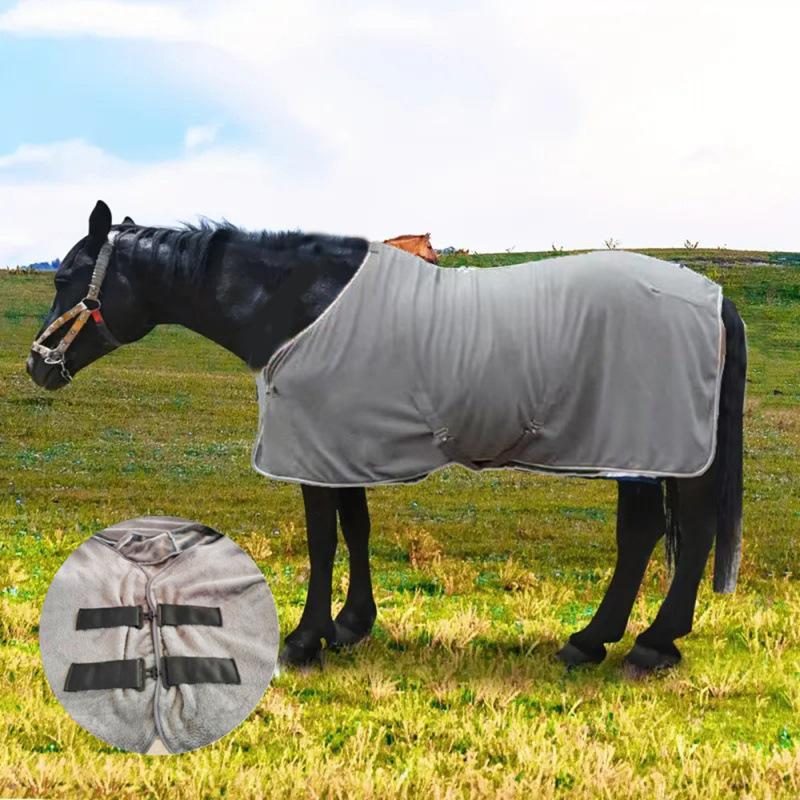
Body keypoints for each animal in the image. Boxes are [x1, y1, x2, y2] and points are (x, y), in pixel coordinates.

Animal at [27, 201, 747, 674]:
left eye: (65, 277)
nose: (37, 364)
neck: (299, 305)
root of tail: (713, 297)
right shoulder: (340, 447)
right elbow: (356, 528)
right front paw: (351, 625)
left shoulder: (314, 450)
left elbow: (323, 539)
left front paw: (305, 639)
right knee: (648, 536)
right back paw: (599, 640)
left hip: (652, 451)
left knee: (676, 533)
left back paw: (648, 645)